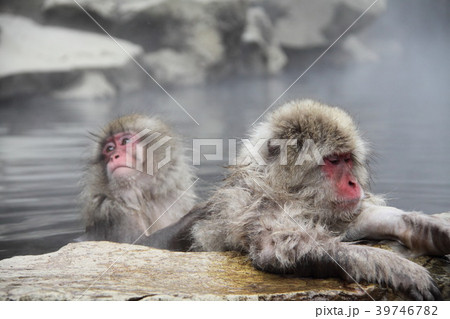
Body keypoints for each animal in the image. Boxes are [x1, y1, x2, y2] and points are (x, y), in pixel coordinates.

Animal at [80, 115, 196, 245]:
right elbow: (137, 243)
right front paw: (195, 216)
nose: (114, 156)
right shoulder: (113, 211)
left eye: (125, 141)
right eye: (109, 148)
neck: (146, 196)